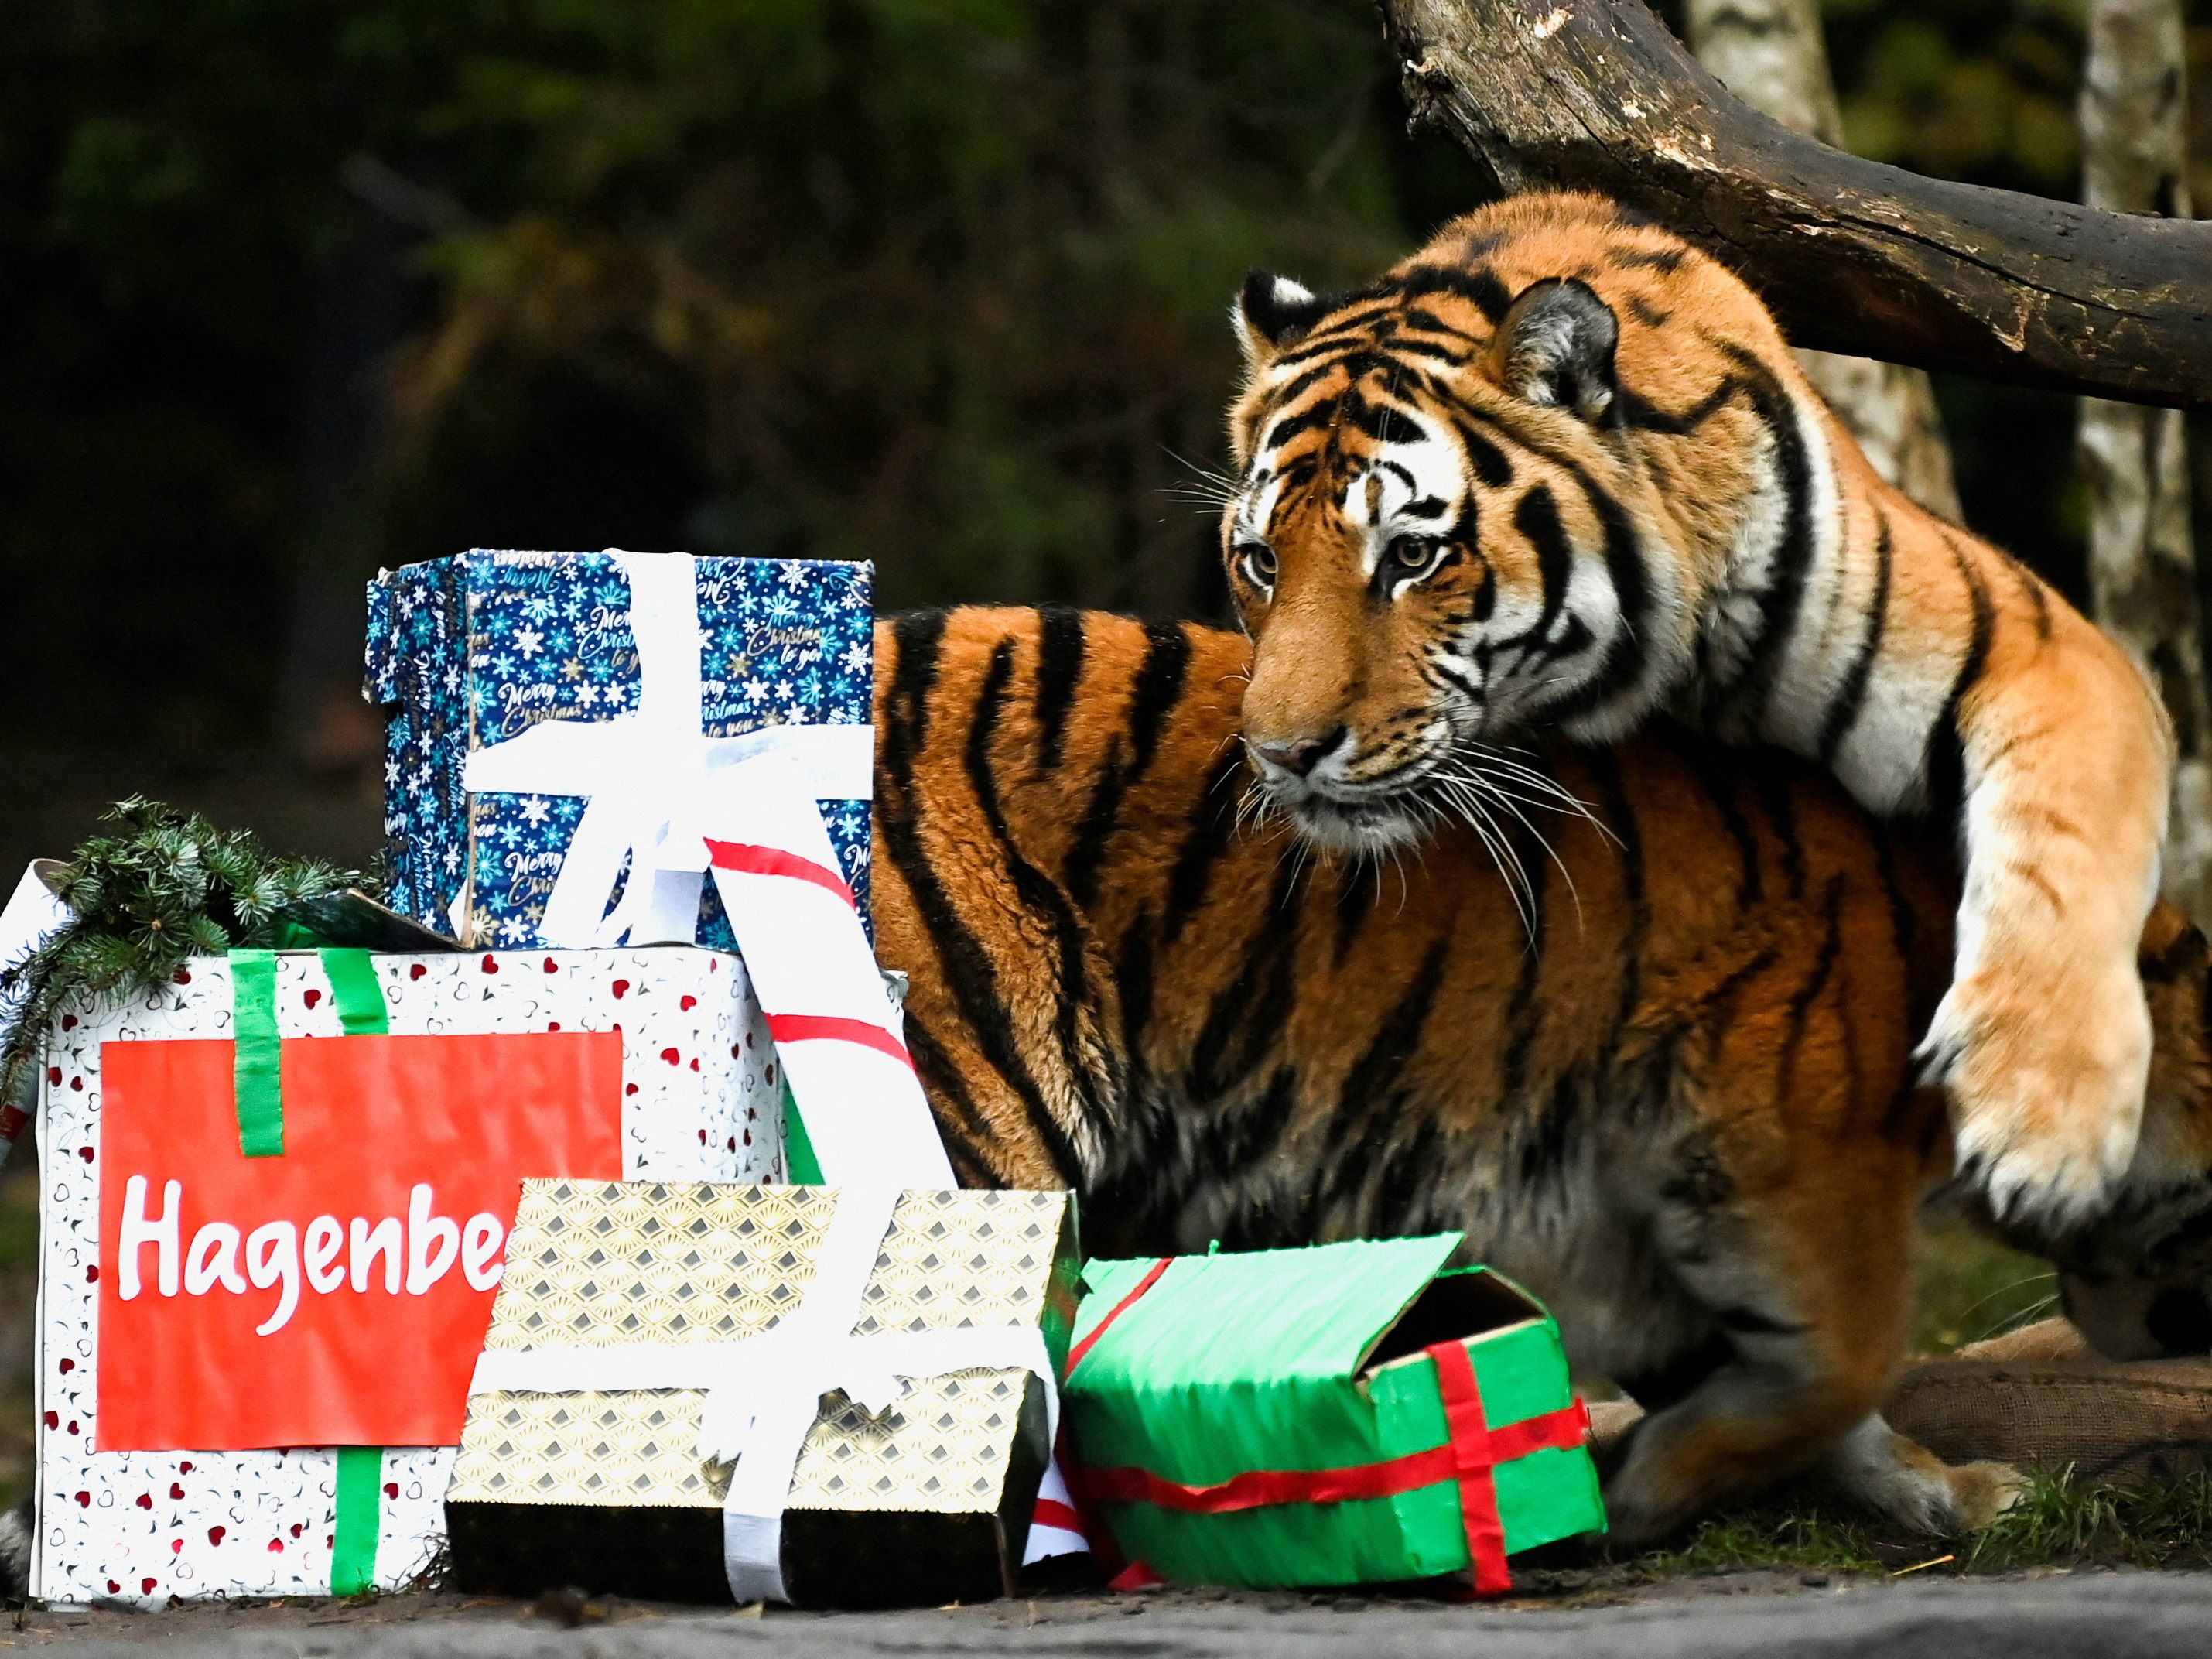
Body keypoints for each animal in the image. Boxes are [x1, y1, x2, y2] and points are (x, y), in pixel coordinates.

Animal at [871, 606, 2212, 1548]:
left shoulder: (1627, 1220)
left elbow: (1808, 1399)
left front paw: (1951, 1497)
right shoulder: (1784, 1162)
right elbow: (1843, 1365)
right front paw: (1649, 1493)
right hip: (979, 1111)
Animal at [1221, 191, 2167, 1238]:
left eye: (1413, 556)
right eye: (1261, 562)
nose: (1280, 753)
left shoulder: (2032, 637)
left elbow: (2064, 839)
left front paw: (2044, 1134)